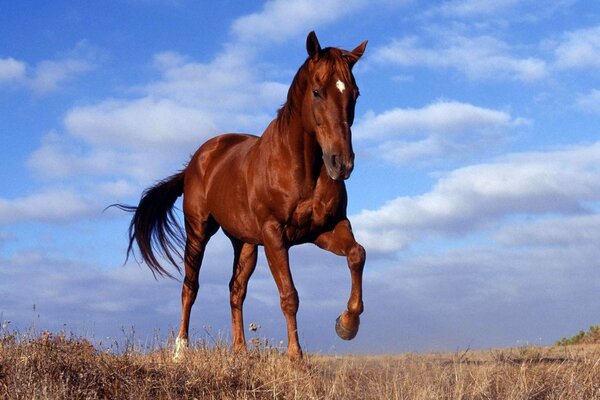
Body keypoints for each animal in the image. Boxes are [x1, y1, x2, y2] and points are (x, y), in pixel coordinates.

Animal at [113, 31, 366, 360]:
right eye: (317, 92)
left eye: (355, 94)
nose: (341, 163)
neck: (301, 168)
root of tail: (195, 162)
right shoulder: (274, 235)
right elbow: (289, 295)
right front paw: (295, 357)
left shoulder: (325, 229)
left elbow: (357, 254)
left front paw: (347, 324)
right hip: (198, 231)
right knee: (190, 287)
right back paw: (181, 350)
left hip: (244, 243)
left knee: (236, 290)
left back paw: (240, 351)